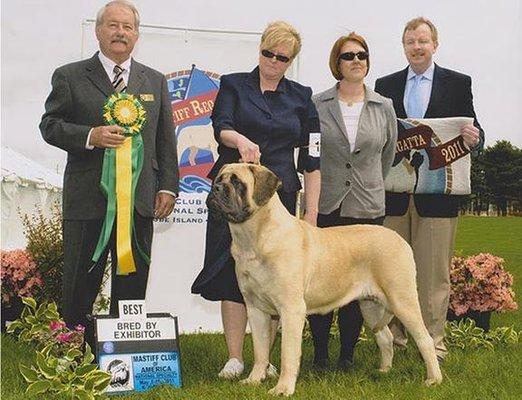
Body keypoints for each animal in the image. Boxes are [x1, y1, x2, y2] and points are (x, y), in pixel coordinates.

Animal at [205, 164, 440, 396]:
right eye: (219, 178)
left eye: (237, 182)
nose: (215, 189)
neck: (254, 237)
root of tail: (401, 241)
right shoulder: (255, 309)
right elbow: (260, 349)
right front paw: (254, 380)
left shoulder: (291, 310)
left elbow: (288, 353)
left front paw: (283, 388)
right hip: (371, 306)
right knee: (385, 337)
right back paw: (384, 370)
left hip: (402, 299)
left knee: (425, 339)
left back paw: (433, 379)